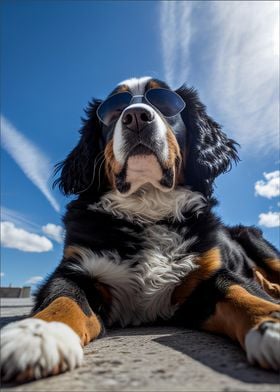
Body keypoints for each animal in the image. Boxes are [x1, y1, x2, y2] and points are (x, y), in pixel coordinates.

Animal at [1, 76, 278, 382]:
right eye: (113, 110)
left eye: (165, 102)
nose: (135, 117)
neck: (147, 210)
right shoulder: (75, 269)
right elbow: (64, 297)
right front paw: (38, 334)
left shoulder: (207, 275)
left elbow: (240, 292)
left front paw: (271, 323)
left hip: (255, 241)